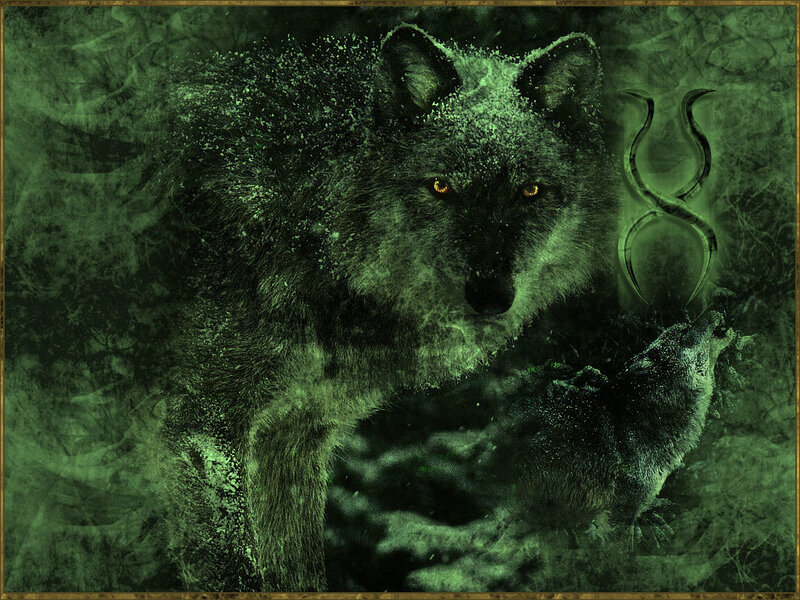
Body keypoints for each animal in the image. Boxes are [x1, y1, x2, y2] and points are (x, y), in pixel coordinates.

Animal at [147, 24, 724, 591]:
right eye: (441, 185)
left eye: (530, 191)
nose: (490, 295)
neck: (308, 226)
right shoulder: (202, 432)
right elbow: (234, 570)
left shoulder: (290, 440)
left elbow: (297, 569)